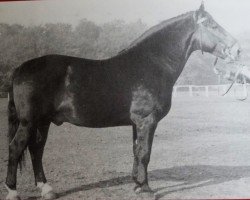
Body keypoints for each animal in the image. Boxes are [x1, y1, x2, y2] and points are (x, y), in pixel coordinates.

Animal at [4, 3, 241, 200]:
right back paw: (13, 191)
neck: (152, 64)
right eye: (211, 24)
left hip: (42, 122)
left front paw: (137, 184)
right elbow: (145, 153)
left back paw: (46, 189)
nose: (238, 49)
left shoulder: (137, 123)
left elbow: (137, 151)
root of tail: (20, 68)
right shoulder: (147, 120)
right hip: (29, 122)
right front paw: (146, 189)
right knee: (16, 148)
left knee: (36, 150)